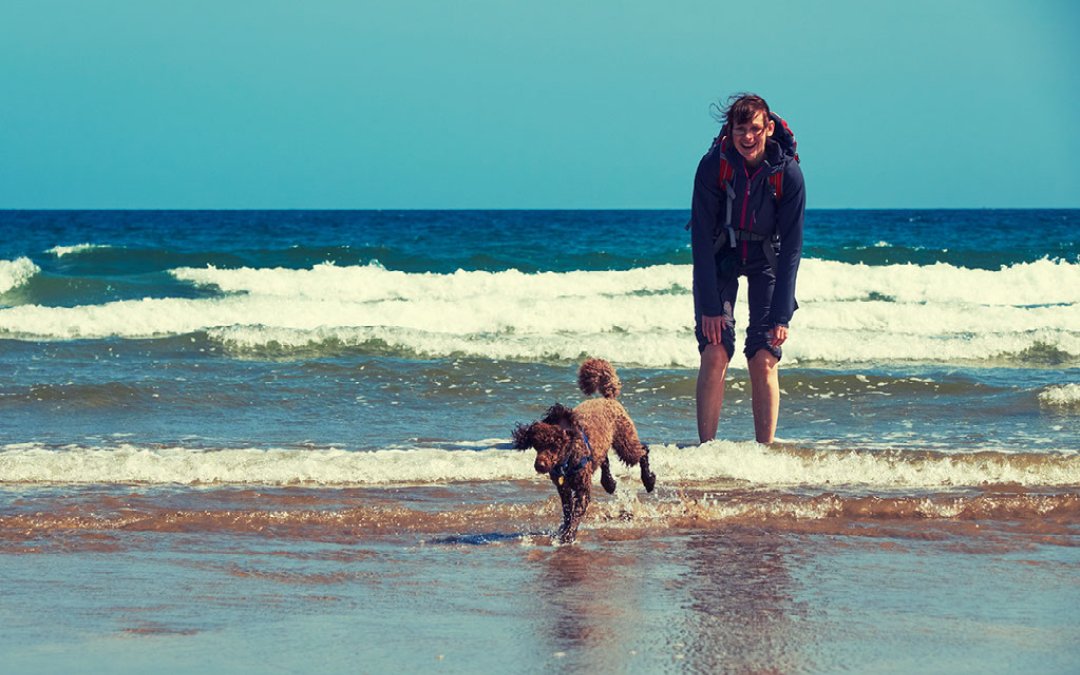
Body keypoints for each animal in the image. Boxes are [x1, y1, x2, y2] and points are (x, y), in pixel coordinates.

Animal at [514, 358, 656, 542]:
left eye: (555, 445)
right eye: (536, 445)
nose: (540, 465)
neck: (566, 461)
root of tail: (608, 399)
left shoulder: (582, 489)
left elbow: (577, 512)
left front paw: (568, 535)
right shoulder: (564, 489)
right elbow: (568, 511)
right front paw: (565, 529)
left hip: (625, 442)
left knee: (643, 451)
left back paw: (648, 480)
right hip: (603, 446)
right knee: (605, 460)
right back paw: (609, 483)